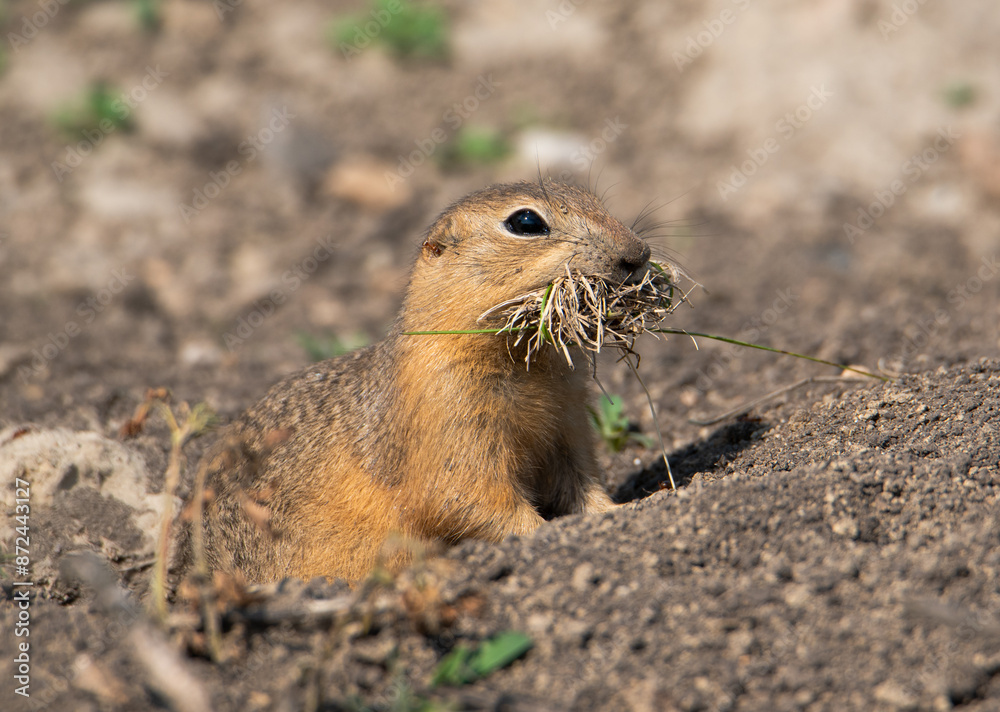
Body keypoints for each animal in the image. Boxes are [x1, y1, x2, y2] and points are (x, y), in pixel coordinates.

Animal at [197, 180, 653, 583]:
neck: (526, 358)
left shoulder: (569, 419)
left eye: (591, 197)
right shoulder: (451, 414)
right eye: (526, 222)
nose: (639, 253)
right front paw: (544, 534)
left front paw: (622, 513)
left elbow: (581, 483)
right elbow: (465, 496)